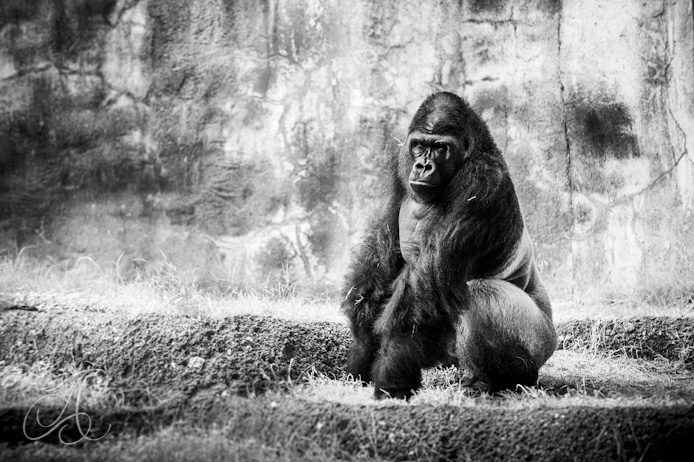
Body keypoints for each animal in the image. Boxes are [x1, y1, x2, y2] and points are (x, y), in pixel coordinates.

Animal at [344, 92, 560, 398]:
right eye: (419, 145)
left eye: (441, 148)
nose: (423, 166)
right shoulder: (400, 164)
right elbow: (383, 256)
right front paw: (362, 349)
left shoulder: (480, 181)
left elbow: (419, 304)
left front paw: (392, 375)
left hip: (541, 343)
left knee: (484, 294)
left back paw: (500, 381)